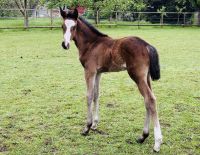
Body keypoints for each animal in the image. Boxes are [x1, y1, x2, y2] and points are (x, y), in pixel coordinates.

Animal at [59, 7, 162, 152]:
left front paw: (87, 127)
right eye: (62, 26)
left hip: (137, 76)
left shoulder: (89, 71)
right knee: (147, 100)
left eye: (73, 27)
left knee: (151, 99)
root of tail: (146, 45)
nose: (65, 44)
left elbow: (89, 96)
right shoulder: (98, 73)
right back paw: (142, 137)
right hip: (146, 77)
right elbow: (96, 95)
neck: (92, 44)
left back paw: (157, 143)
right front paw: (95, 124)